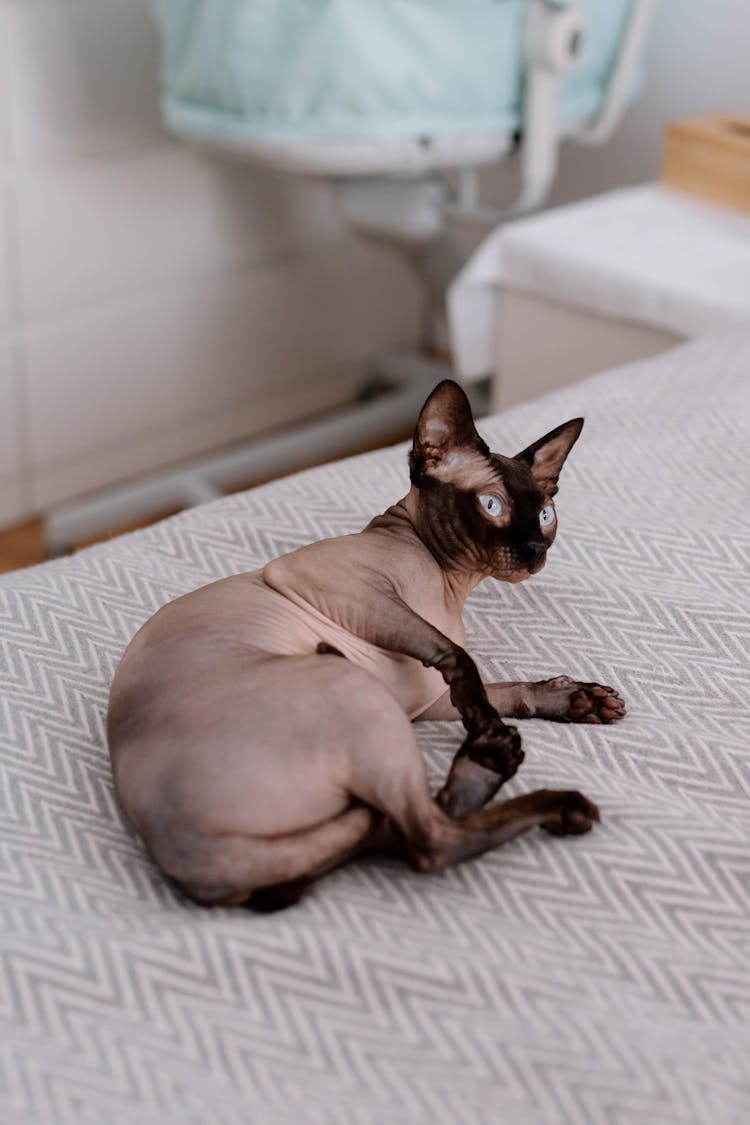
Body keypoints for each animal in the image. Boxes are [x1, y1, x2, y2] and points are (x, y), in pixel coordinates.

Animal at [108, 382, 625, 909]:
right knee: (428, 839)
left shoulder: (425, 703)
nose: (536, 551)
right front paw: (486, 719)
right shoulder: (334, 583)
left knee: (410, 824)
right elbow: (462, 660)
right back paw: (545, 792)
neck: (452, 585)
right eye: (492, 505)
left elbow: (503, 689)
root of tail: (183, 857)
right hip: (357, 692)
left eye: (545, 515)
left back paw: (492, 758)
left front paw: (575, 699)